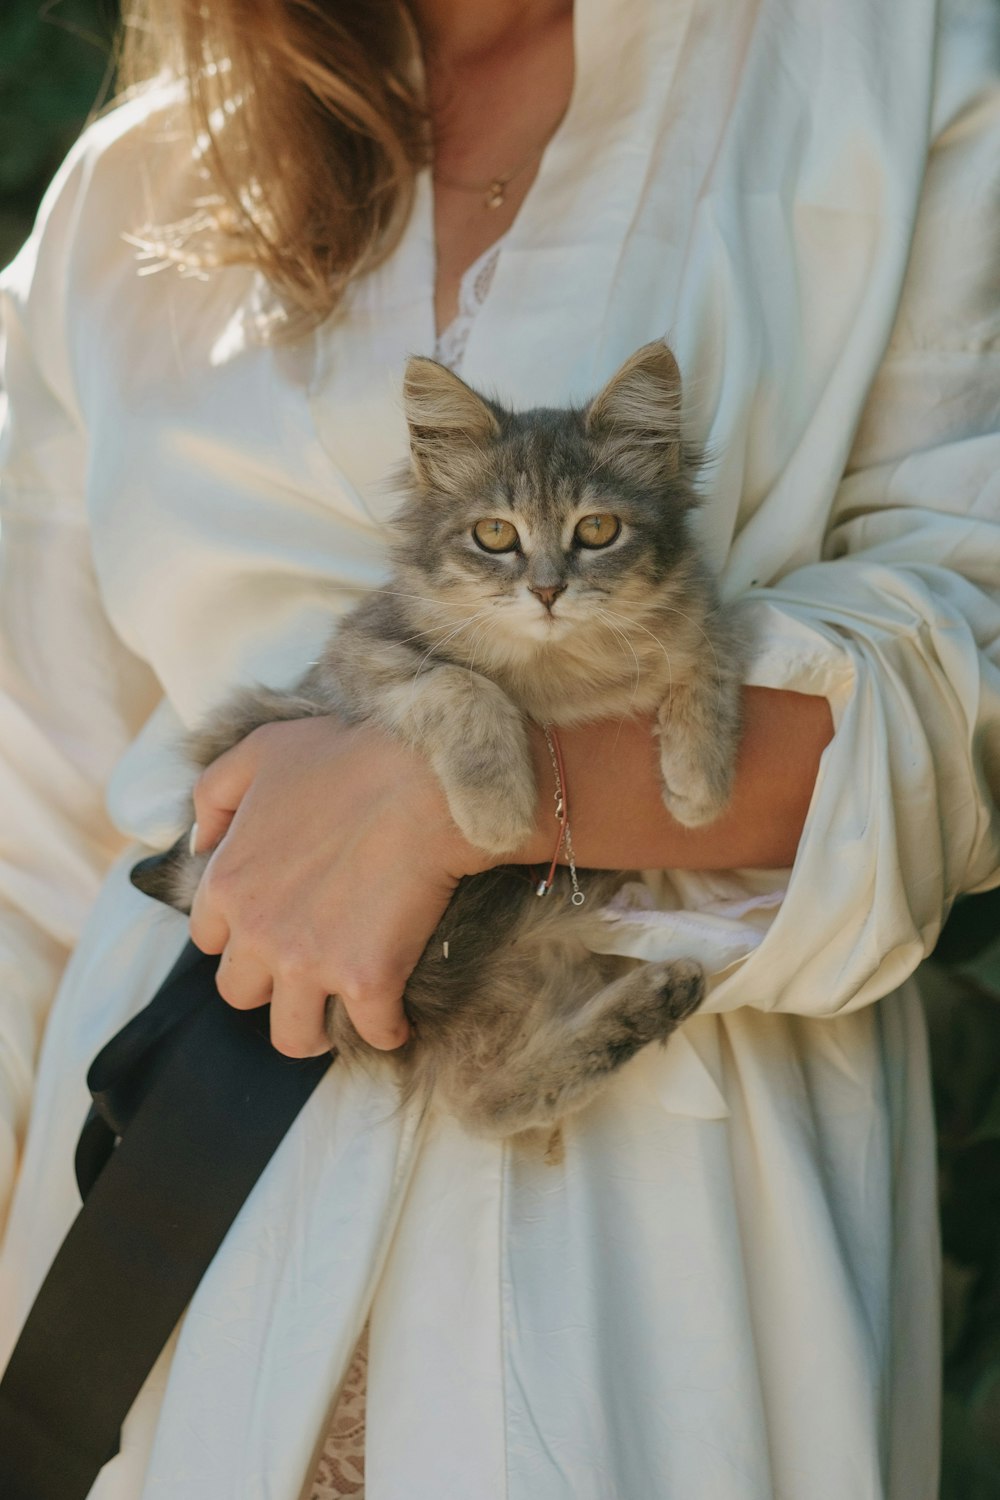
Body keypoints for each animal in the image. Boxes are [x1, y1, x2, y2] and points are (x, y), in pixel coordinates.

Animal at [131, 343, 743, 1134]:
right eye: (496, 535)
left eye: (597, 530)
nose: (548, 591)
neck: (563, 674)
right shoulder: (359, 660)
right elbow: (464, 687)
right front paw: (498, 813)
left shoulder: (695, 617)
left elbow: (711, 654)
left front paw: (700, 785)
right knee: (482, 1098)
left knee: (488, 1096)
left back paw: (660, 996)